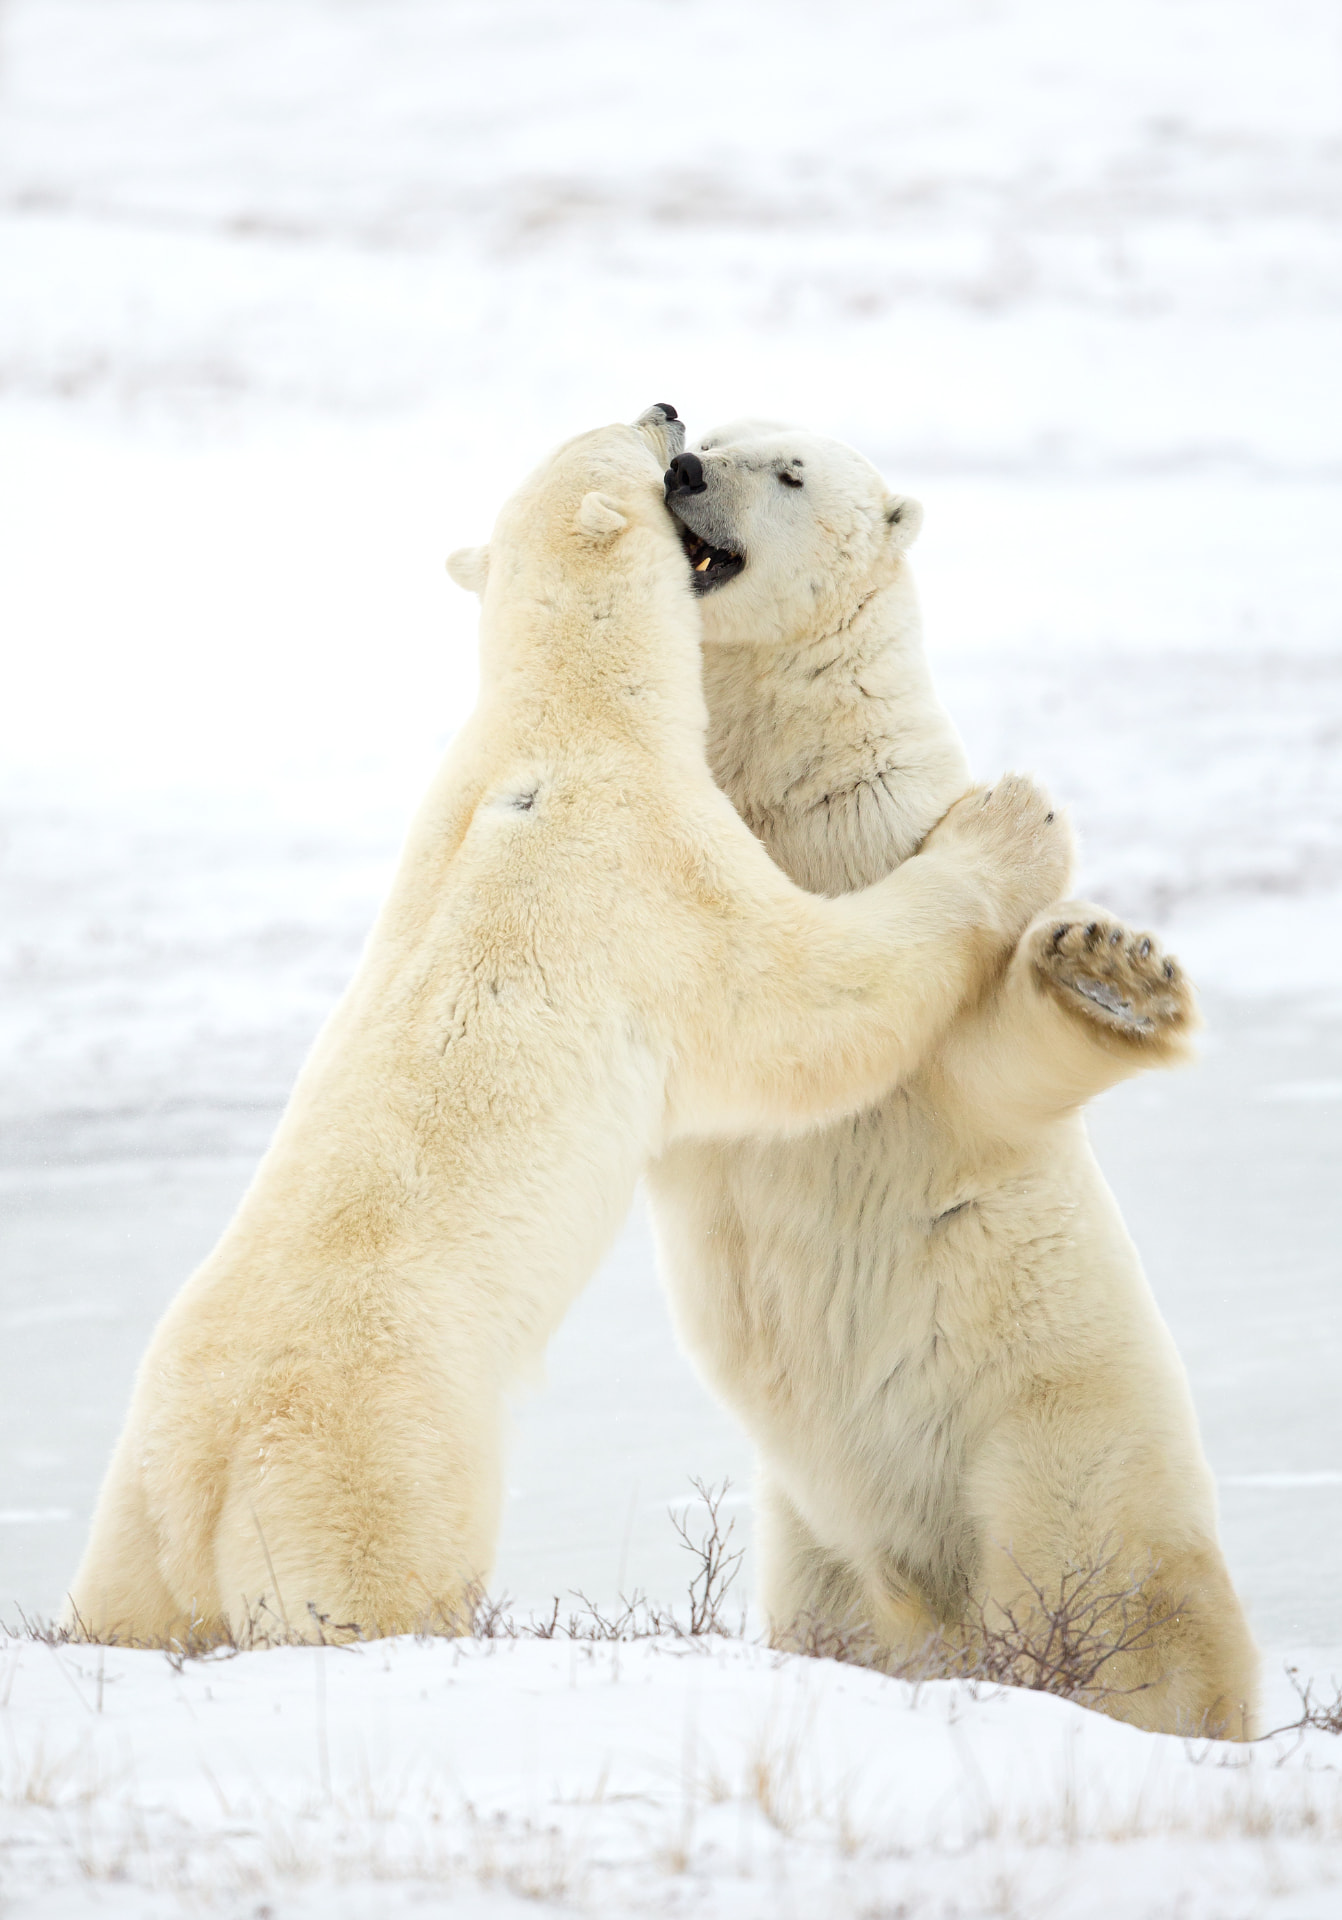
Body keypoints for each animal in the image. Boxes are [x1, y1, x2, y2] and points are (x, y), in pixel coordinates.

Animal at [65, 407, 1070, 1648]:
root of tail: (202, 1480)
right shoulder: (651, 863)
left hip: (135, 1501)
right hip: (376, 1457)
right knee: (378, 1576)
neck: (559, 719)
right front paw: (1012, 823)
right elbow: (803, 1001)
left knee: (122, 1595)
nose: (668, 412)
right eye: (622, 433)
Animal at [647, 418, 1260, 1738]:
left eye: (786, 472)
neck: (800, 798)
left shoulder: (887, 849)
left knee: (1093, 1592)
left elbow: (969, 1055)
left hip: (1047, 1449)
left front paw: (1110, 967)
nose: (681, 469)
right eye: (714, 436)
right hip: (815, 1543)